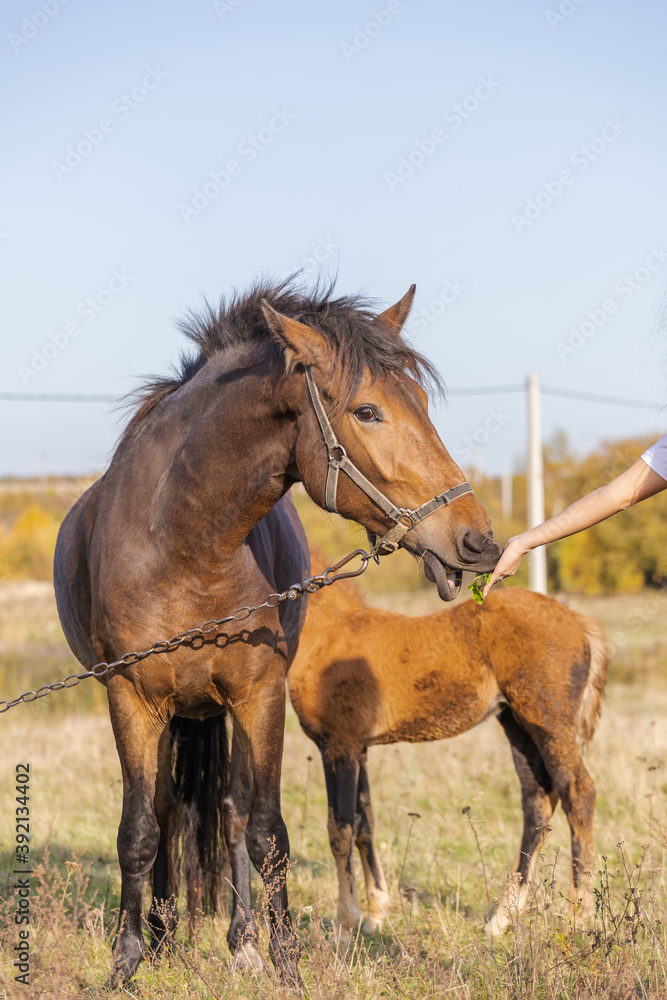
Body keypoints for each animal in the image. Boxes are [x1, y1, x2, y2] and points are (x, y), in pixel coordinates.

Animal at [53, 279, 502, 987]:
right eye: (368, 411)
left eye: (424, 403)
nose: (477, 541)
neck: (181, 545)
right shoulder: (130, 698)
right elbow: (138, 831)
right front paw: (125, 963)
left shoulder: (259, 693)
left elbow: (265, 830)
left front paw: (284, 960)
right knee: (168, 810)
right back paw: (164, 937)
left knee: (230, 812)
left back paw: (239, 942)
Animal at [285, 551, 608, 939]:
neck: (329, 631)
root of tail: (576, 620)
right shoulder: (359, 749)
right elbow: (365, 823)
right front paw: (377, 913)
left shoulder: (338, 745)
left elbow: (340, 830)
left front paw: (345, 925)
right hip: (516, 724)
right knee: (538, 802)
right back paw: (502, 918)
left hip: (548, 721)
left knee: (578, 791)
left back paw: (580, 915)